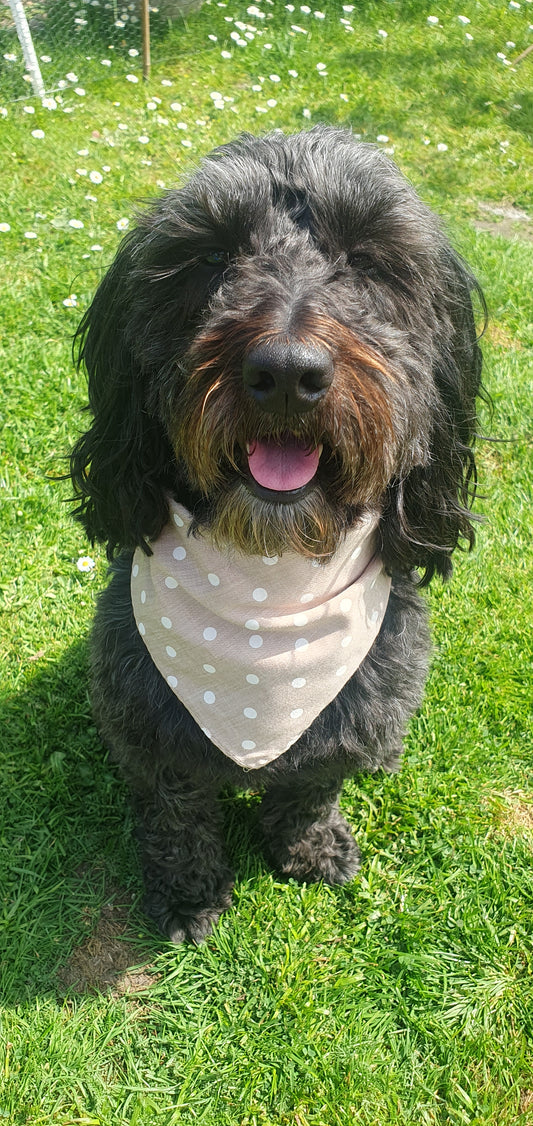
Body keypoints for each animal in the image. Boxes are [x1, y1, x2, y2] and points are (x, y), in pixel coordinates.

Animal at [69, 125, 482, 941]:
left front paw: (308, 847)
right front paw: (189, 891)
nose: (287, 372)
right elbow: (177, 814)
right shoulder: (149, 723)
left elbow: (312, 789)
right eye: (210, 256)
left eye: (366, 258)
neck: (270, 582)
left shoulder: (356, 712)